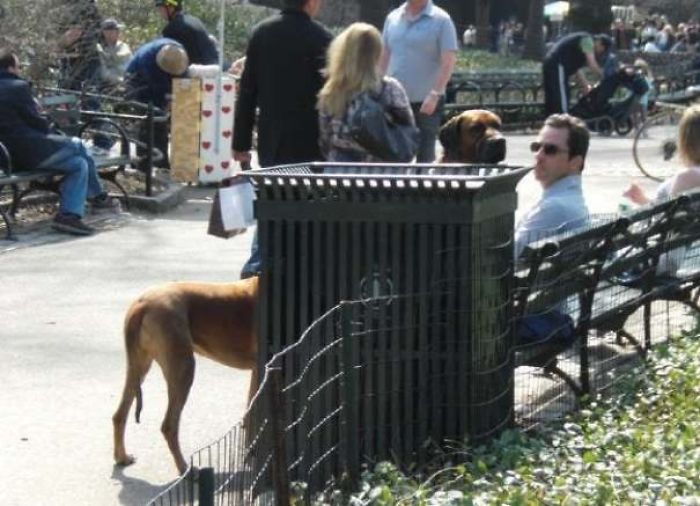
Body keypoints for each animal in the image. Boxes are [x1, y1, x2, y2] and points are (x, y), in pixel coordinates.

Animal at [112, 276, 259, 475]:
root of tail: (141, 305)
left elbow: (251, 410)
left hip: (139, 366)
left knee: (120, 414)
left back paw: (122, 457)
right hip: (183, 367)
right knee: (169, 425)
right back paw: (184, 468)